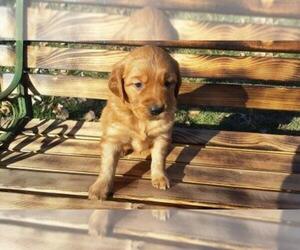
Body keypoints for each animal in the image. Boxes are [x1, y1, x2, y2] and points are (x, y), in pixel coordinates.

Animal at [88, 45, 180, 201]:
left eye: (168, 83)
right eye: (138, 84)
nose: (158, 110)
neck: (140, 119)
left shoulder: (162, 135)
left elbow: (158, 159)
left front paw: (160, 177)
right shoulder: (112, 138)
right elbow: (107, 165)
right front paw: (100, 187)